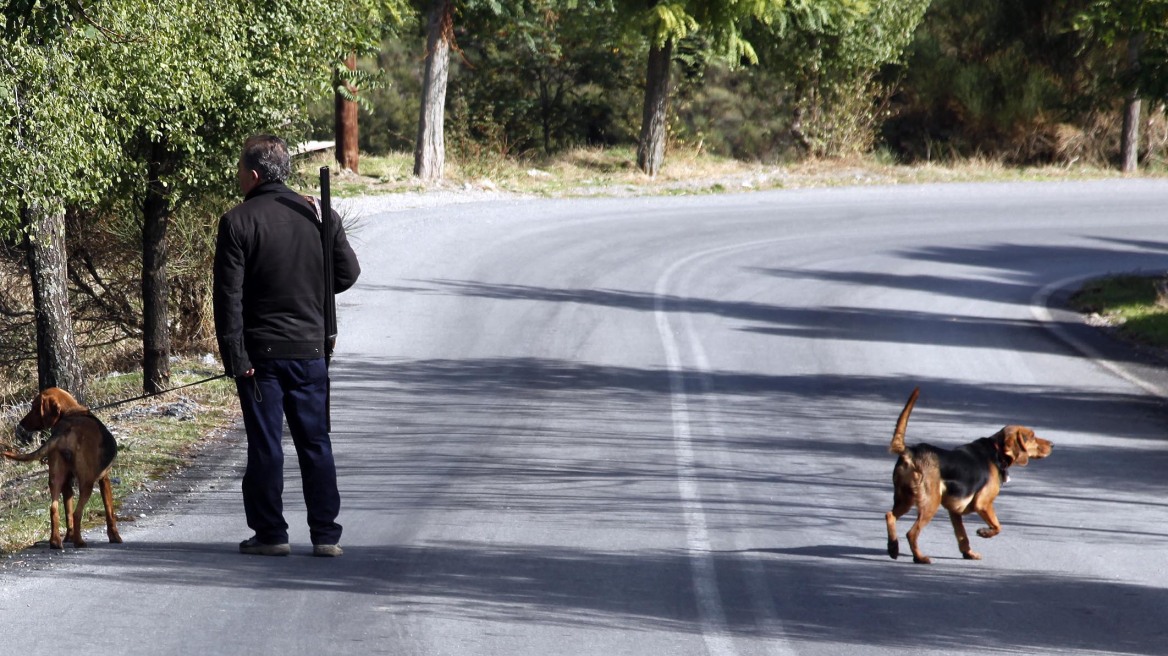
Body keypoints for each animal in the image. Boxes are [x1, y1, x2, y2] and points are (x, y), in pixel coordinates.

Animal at [5, 387, 121, 546]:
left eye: (34, 407)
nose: (21, 423)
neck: (71, 412)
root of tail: (66, 428)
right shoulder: (104, 479)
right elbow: (110, 512)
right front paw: (115, 537)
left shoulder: (67, 484)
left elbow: (67, 513)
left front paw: (68, 537)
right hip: (87, 482)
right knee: (77, 513)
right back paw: (79, 542)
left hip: (56, 478)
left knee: (54, 508)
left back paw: (55, 542)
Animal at [883, 387, 1051, 562]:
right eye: (1032, 437)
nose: (1052, 444)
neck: (997, 451)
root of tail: (911, 452)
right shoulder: (983, 503)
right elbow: (998, 526)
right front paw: (984, 533)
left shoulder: (955, 511)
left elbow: (962, 536)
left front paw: (969, 553)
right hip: (930, 503)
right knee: (911, 533)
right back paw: (920, 558)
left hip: (905, 499)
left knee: (890, 516)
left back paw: (893, 548)